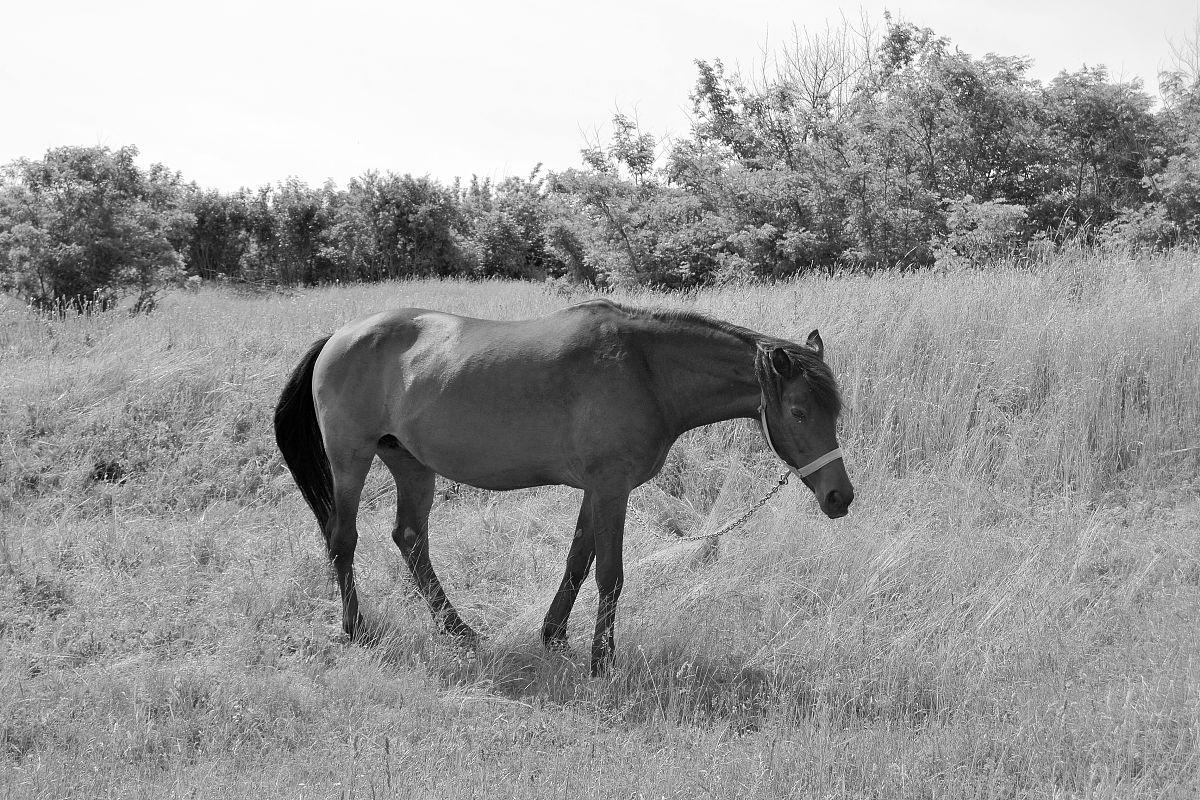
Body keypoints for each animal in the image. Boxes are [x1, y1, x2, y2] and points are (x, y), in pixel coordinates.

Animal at [273, 298, 853, 674]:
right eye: (799, 412)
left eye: (835, 410)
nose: (840, 496)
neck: (645, 370)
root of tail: (339, 337)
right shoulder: (612, 488)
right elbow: (610, 575)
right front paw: (602, 659)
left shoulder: (597, 489)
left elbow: (578, 560)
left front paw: (554, 636)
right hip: (351, 459)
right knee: (343, 539)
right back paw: (356, 629)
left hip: (412, 464)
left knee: (411, 540)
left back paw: (458, 631)